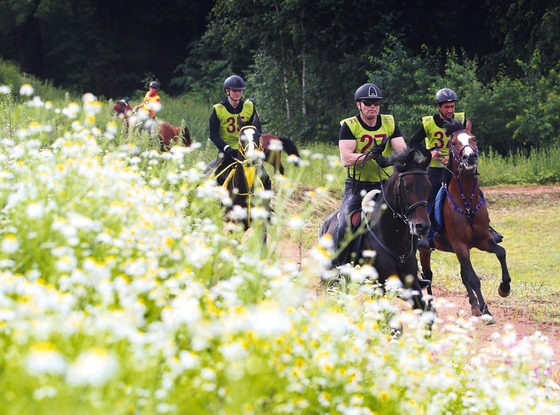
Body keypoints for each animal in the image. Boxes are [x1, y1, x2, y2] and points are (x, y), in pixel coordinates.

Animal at [416, 118, 512, 324]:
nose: (470, 157)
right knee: (428, 275)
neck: (467, 202)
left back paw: (474, 305)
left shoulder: (482, 240)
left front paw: (504, 288)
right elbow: (473, 278)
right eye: (453, 143)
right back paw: (432, 308)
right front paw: (486, 311)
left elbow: (501, 253)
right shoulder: (459, 245)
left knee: (461, 274)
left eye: (473, 138)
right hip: (424, 249)